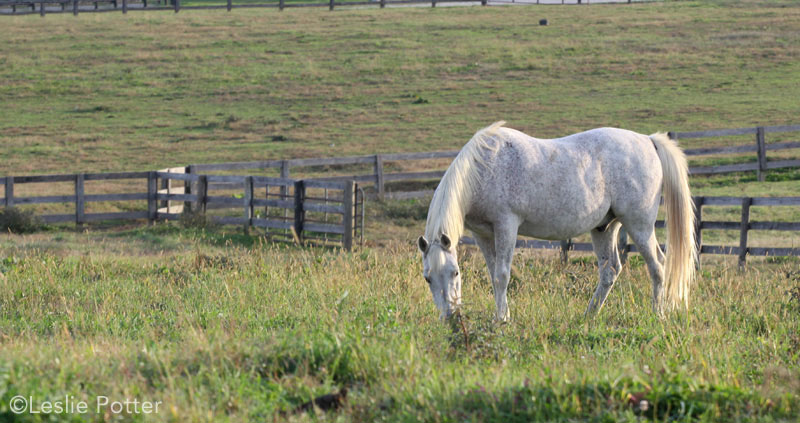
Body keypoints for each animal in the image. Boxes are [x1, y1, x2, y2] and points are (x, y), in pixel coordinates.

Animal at [418, 121, 692, 322]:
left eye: (455, 273)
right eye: (428, 278)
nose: (450, 317)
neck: (484, 168)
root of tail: (648, 141)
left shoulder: (506, 226)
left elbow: (502, 275)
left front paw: (501, 320)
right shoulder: (483, 234)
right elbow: (493, 273)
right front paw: (501, 315)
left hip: (639, 225)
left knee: (658, 265)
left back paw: (658, 314)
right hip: (604, 227)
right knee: (610, 270)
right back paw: (589, 315)